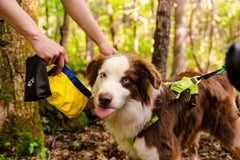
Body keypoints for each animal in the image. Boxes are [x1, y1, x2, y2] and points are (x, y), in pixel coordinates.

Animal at [86, 54, 240, 159]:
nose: (104, 99)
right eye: (103, 75)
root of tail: (217, 77)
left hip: (225, 127)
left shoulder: (166, 151)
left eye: (126, 79)